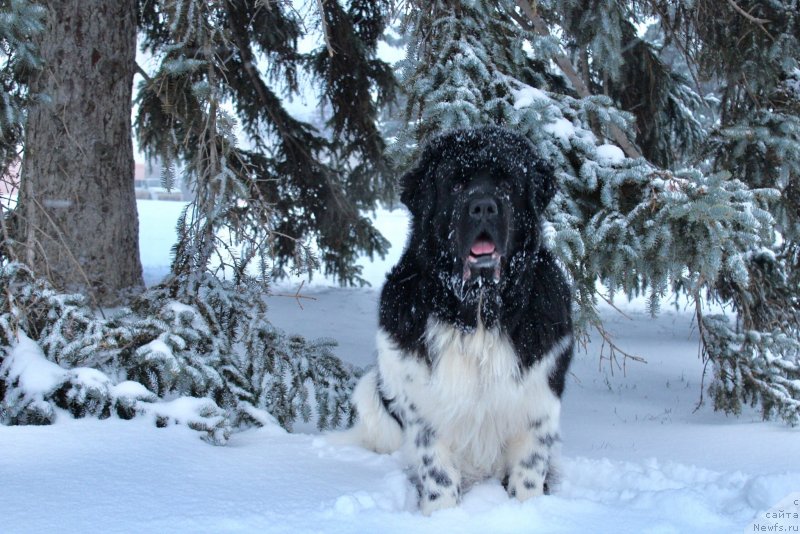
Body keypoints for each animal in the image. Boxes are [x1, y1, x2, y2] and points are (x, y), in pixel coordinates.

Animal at [340, 125, 572, 516]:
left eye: (507, 183)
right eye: (457, 184)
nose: (483, 206)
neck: (477, 311)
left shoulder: (538, 398)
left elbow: (529, 468)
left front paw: (529, 509)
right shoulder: (424, 405)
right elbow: (437, 472)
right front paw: (441, 515)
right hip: (372, 392)